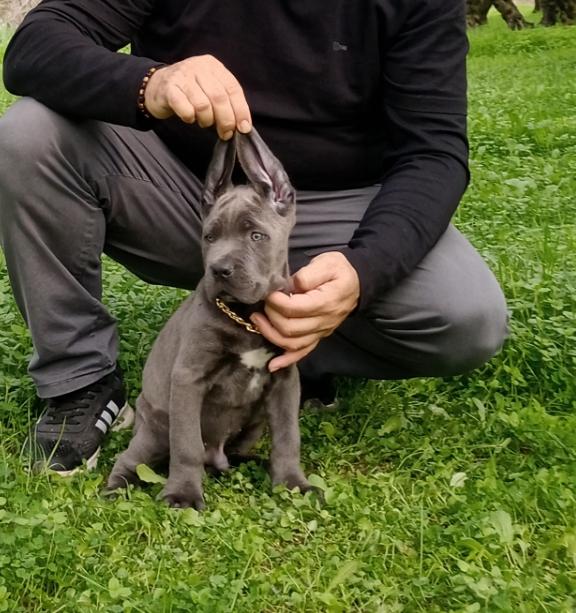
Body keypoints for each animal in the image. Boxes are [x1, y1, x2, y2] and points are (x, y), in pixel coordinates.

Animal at [106, 129, 313, 509]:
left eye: (256, 235)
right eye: (210, 237)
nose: (220, 270)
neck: (246, 316)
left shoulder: (284, 380)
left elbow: (288, 436)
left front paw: (293, 483)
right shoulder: (189, 378)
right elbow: (186, 446)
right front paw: (183, 495)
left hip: (254, 420)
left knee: (239, 448)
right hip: (156, 427)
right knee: (132, 458)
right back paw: (116, 488)